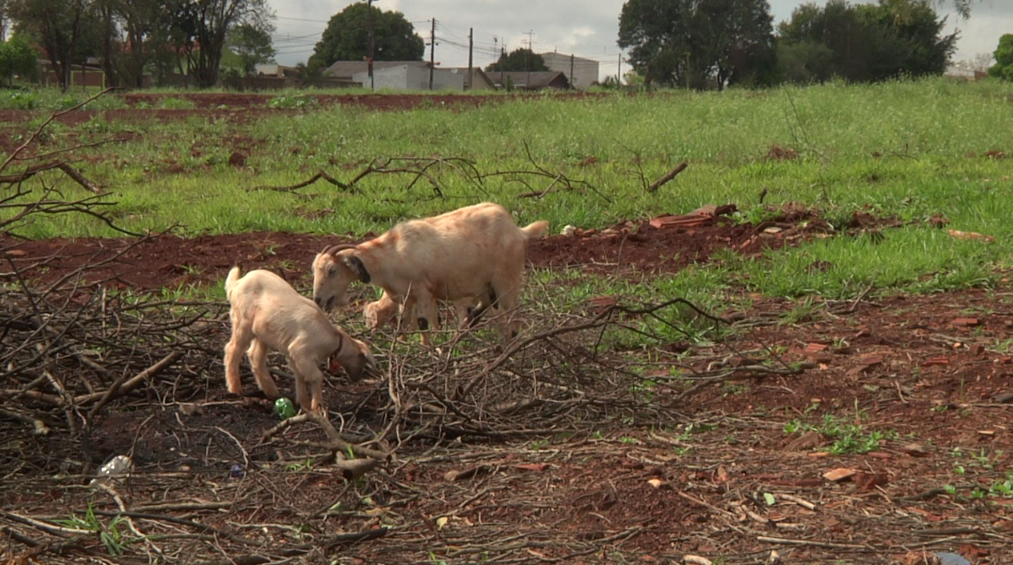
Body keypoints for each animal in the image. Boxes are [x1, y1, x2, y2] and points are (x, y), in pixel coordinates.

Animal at [224, 267, 376, 415]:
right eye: (362, 359)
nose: (357, 378)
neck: (331, 340)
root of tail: (237, 283)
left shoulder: (295, 356)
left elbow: (299, 376)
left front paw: (304, 405)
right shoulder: (300, 351)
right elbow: (316, 377)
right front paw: (317, 408)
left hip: (263, 333)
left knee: (255, 356)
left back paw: (272, 391)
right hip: (242, 321)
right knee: (232, 349)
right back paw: (235, 388)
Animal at [312, 203, 547, 346]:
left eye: (332, 270)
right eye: (314, 270)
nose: (318, 299)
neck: (393, 252)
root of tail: (519, 231)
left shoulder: (423, 292)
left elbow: (424, 323)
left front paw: (432, 352)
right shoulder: (406, 298)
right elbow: (404, 324)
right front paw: (403, 348)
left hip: (506, 281)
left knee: (514, 317)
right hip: (486, 287)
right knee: (487, 313)